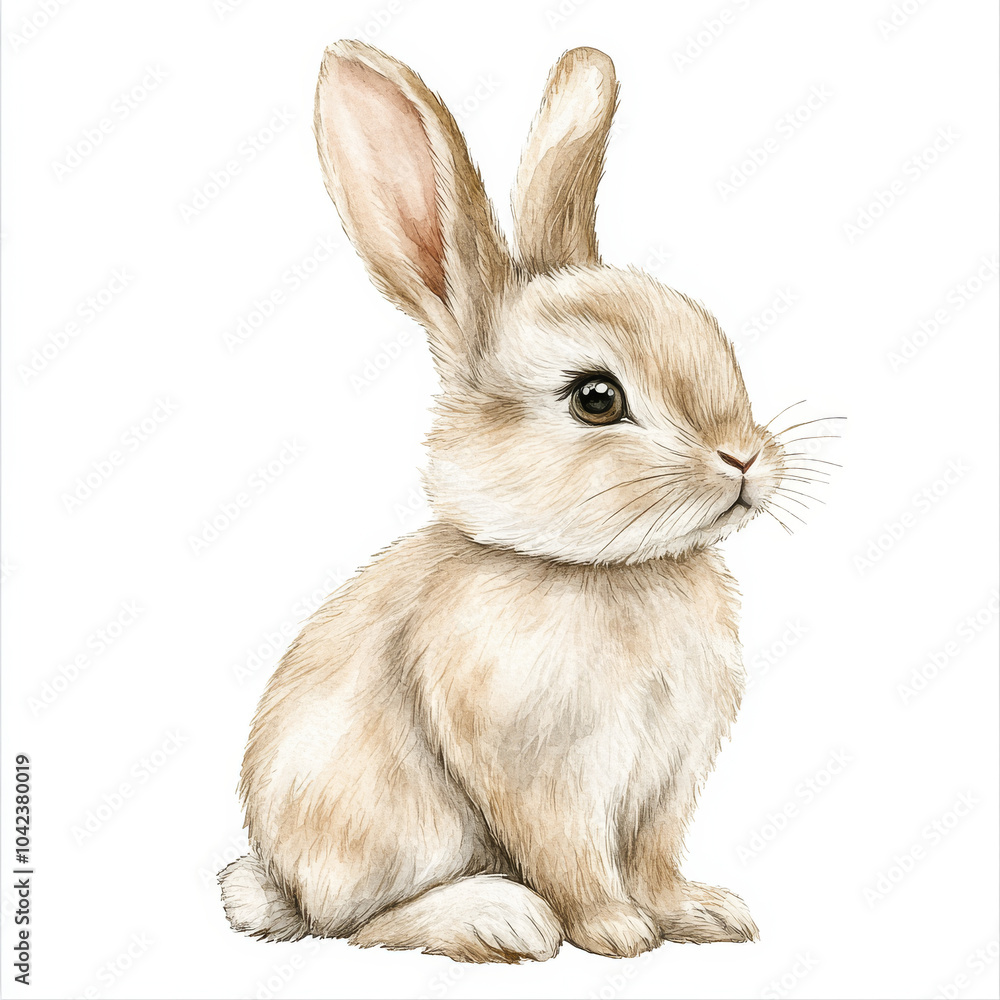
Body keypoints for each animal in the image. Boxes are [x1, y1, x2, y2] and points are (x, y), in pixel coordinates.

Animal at [220, 39, 800, 963]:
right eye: (596, 398)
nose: (743, 456)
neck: (601, 570)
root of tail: (278, 882)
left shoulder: (667, 782)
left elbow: (655, 858)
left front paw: (701, 915)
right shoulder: (539, 778)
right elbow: (571, 859)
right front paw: (616, 934)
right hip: (398, 829)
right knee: (356, 926)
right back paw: (497, 917)